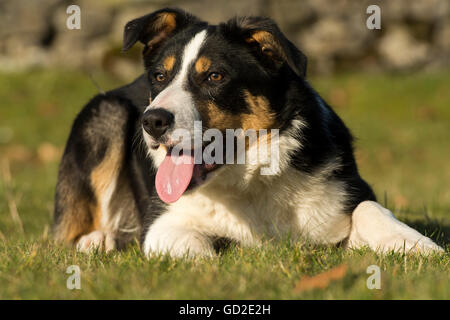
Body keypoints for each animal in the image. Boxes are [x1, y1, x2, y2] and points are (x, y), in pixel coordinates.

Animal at [52, 8, 442, 258]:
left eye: (215, 76)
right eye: (160, 76)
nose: (152, 121)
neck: (251, 180)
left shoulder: (345, 189)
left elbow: (369, 208)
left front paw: (414, 244)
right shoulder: (162, 222)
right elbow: (196, 249)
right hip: (107, 114)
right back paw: (97, 241)